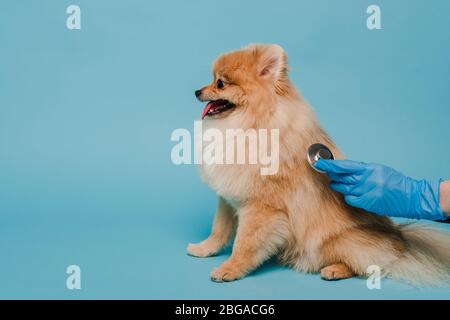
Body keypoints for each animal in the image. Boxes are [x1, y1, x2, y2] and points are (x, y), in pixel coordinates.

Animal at [187, 43, 450, 284]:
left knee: (368, 265)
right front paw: (205, 249)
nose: (197, 91)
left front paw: (230, 269)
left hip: (335, 241)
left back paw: (335, 269)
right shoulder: (228, 197)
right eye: (212, 79)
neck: (248, 125)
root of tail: (399, 237)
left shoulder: (262, 208)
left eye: (220, 83)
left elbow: (245, 243)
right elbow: (219, 229)